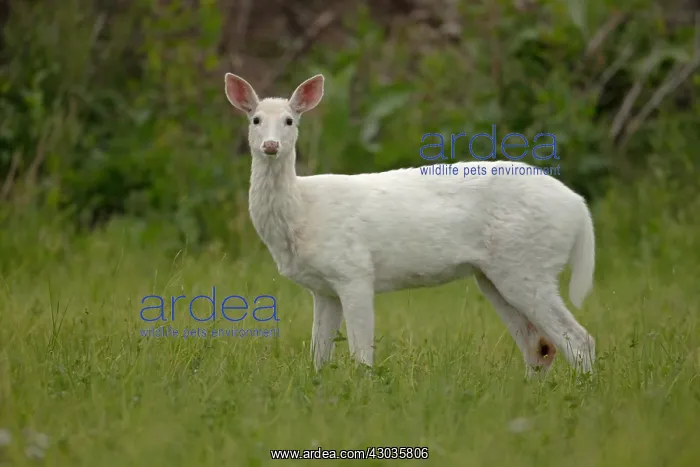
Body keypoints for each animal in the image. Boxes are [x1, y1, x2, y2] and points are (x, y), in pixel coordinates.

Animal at [224, 72, 596, 379]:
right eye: (255, 119)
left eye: (289, 120)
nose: (271, 145)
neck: (303, 210)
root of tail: (579, 207)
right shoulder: (323, 289)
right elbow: (318, 356)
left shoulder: (355, 271)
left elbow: (362, 355)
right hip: (494, 275)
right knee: (540, 346)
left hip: (528, 264)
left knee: (578, 339)